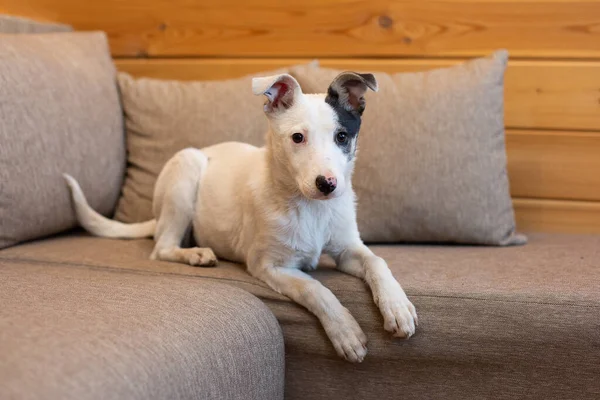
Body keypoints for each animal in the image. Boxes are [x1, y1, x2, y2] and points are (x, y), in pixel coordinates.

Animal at [63, 72, 414, 362]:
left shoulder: (347, 249)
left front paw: (397, 307)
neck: (310, 207)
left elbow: (377, 262)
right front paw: (345, 331)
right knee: (161, 247)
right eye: (297, 137)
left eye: (342, 136)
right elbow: (316, 290)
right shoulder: (269, 266)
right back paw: (196, 254)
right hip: (186, 168)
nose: (327, 185)